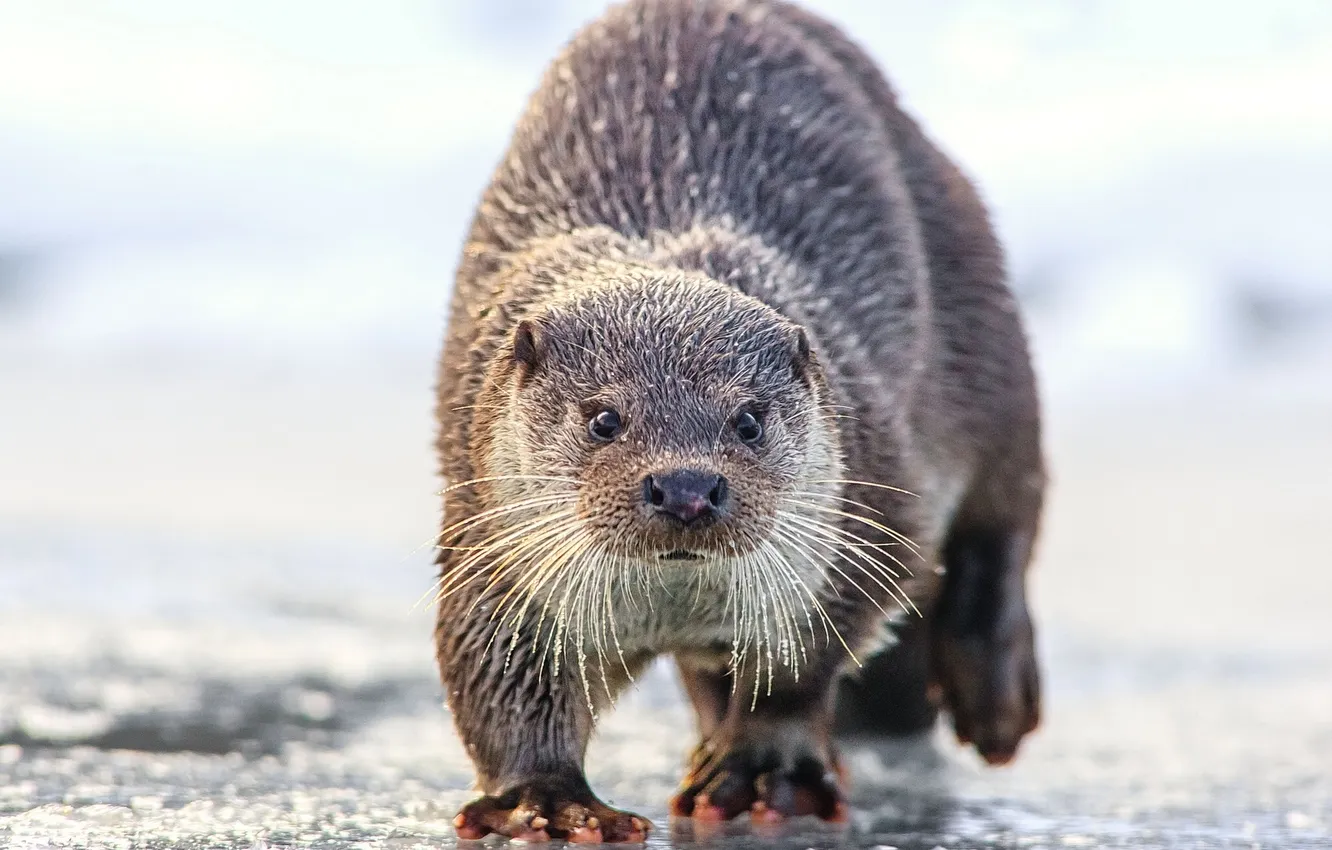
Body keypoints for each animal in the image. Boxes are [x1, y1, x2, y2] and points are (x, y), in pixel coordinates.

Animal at [431, 0, 1044, 842]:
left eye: (748, 421)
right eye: (604, 419)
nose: (687, 487)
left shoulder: (865, 503)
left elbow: (804, 659)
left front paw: (763, 768)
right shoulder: (488, 539)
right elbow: (494, 669)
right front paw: (545, 798)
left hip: (984, 330)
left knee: (1005, 515)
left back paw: (996, 703)